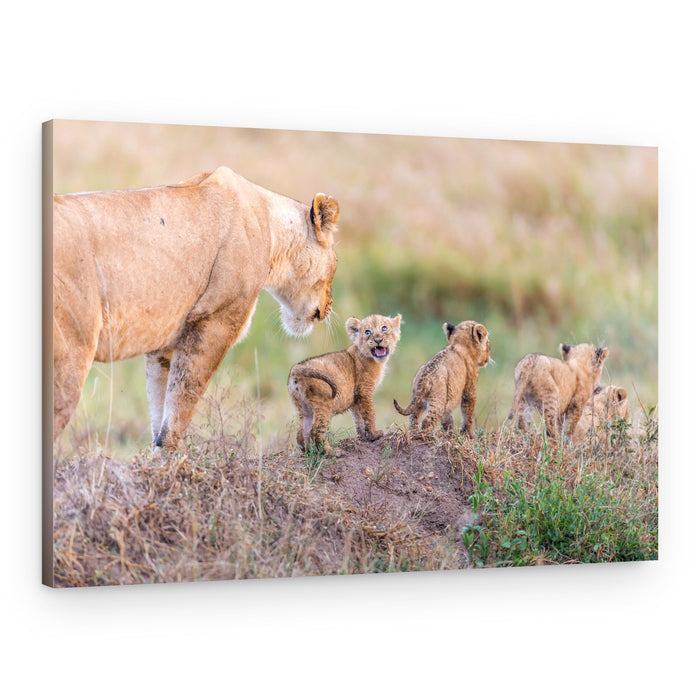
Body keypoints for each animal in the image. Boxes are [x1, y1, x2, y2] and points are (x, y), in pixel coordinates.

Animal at [52, 166, 339, 450]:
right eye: (336, 263)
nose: (330, 305)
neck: (272, 230)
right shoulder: (214, 324)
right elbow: (180, 410)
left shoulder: (165, 344)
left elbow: (160, 414)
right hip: (70, 359)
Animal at [288, 313, 402, 452]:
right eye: (367, 332)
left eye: (384, 328)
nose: (378, 340)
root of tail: (296, 368)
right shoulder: (365, 390)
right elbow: (369, 414)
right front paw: (374, 434)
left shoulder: (356, 397)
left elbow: (358, 418)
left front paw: (364, 436)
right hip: (324, 402)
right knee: (315, 430)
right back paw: (331, 452)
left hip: (303, 406)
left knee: (300, 433)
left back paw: (310, 452)